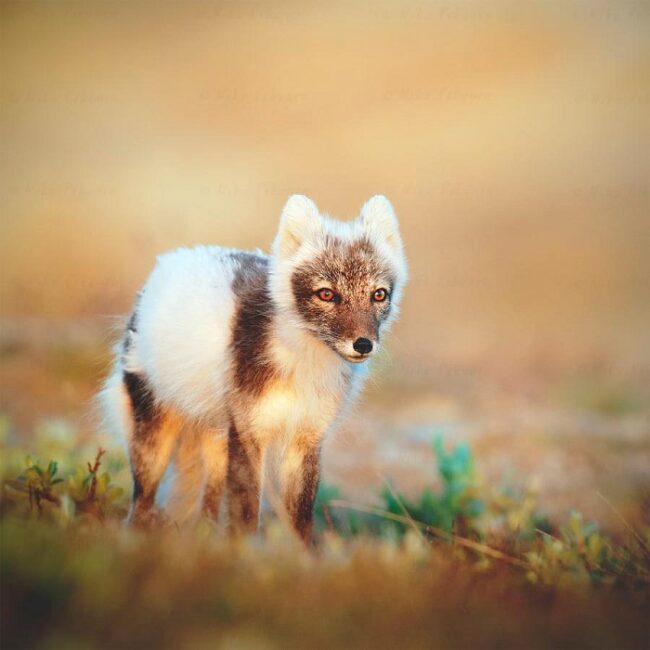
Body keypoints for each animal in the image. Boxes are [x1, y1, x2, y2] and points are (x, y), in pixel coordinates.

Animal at [100, 194, 404, 540]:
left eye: (378, 294)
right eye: (327, 294)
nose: (363, 344)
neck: (301, 362)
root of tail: (168, 263)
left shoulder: (307, 438)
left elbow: (301, 518)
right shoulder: (250, 433)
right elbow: (245, 513)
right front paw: (245, 551)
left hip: (217, 445)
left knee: (208, 508)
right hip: (155, 441)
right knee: (139, 508)